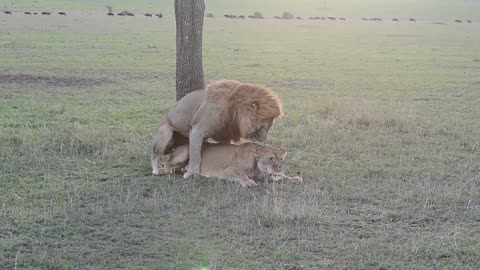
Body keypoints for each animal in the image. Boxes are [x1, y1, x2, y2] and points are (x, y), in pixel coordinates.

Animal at [152, 79, 284, 178]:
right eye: (263, 126)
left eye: (270, 126)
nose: (263, 140)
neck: (233, 111)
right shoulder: (197, 130)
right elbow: (195, 155)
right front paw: (192, 173)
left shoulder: (224, 135)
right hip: (165, 135)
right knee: (154, 154)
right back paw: (157, 170)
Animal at [163, 143, 302, 188]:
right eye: (271, 158)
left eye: (281, 159)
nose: (279, 168)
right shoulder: (228, 169)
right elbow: (241, 175)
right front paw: (249, 182)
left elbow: (282, 178)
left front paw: (294, 178)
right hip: (185, 151)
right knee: (166, 163)